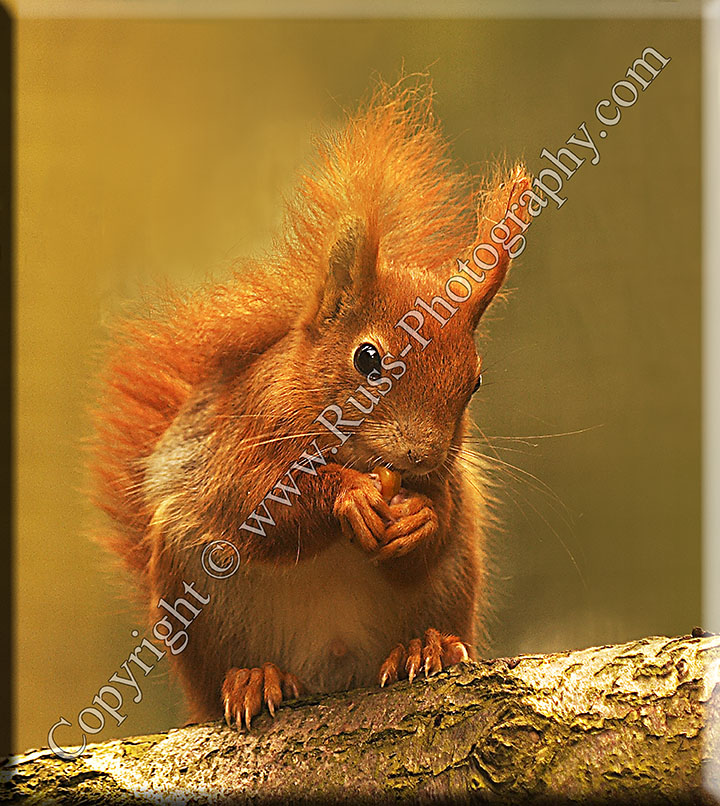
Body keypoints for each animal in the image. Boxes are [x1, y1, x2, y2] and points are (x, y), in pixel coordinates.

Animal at [91, 80, 532, 730]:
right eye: (367, 358)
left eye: (475, 382)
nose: (423, 454)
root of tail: (333, 666)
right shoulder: (242, 437)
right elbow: (258, 505)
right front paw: (348, 494)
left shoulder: (450, 485)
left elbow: (436, 519)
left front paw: (419, 515)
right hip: (191, 582)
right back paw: (253, 678)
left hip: (454, 576)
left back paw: (423, 646)